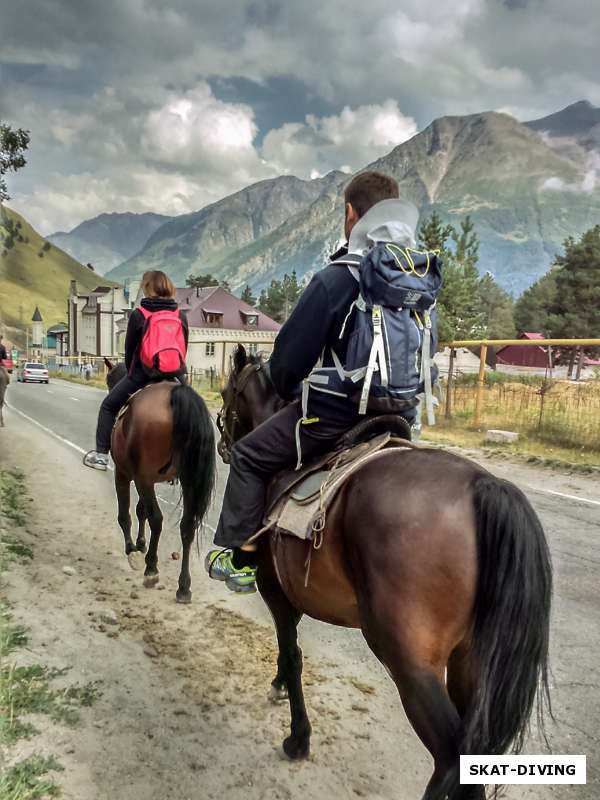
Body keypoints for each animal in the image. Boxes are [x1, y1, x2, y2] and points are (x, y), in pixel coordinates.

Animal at [103, 360, 216, 604]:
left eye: (108, 379)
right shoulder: (149, 479)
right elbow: (141, 510)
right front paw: (141, 543)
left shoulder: (126, 475)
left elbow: (126, 514)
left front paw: (132, 549)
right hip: (187, 481)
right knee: (187, 526)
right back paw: (183, 587)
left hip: (142, 478)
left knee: (157, 519)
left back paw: (151, 569)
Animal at [218, 346, 552, 800]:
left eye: (226, 394)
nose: (224, 444)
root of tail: (483, 487)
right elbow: (291, 655)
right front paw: (280, 686)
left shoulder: (276, 591)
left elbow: (293, 654)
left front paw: (298, 736)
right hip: (469, 658)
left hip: (409, 660)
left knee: (450, 755)